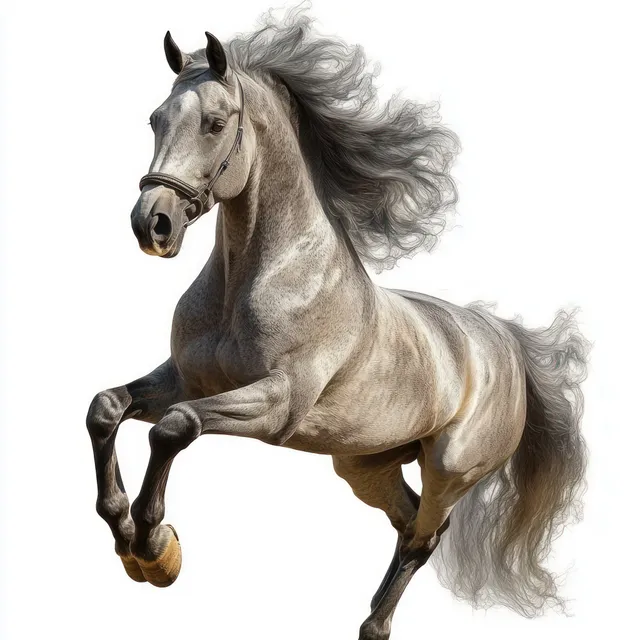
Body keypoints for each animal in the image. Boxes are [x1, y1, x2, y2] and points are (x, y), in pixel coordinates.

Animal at [86, 10, 588, 639]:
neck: (250, 282)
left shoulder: (277, 404)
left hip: (449, 470)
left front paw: (155, 548)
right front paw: (126, 534)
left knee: (425, 536)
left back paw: (374, 625)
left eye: (215, 123)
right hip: (363, 466)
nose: (152, 224)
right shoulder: (186, 379)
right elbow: (106, 408)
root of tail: (503, 342)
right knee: (406, 523)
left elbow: (175, 427)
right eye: (155, 119)